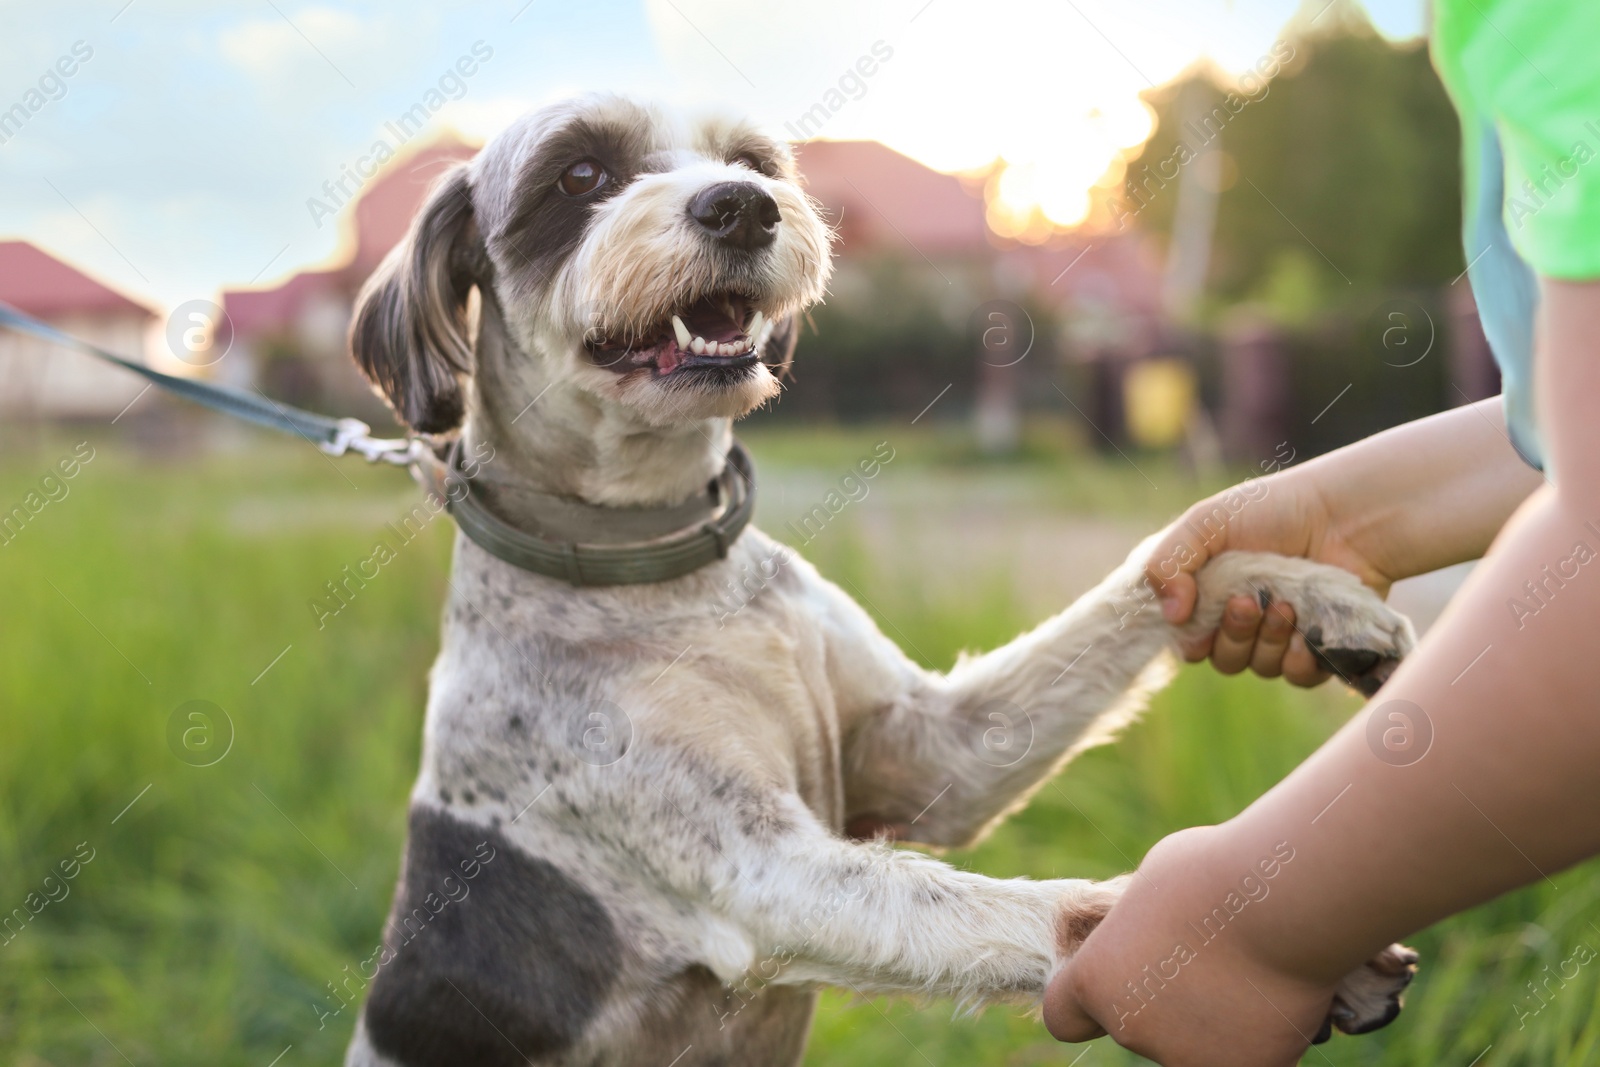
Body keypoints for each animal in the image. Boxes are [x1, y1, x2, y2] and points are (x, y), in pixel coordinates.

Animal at [344, 95, 1420, 1062]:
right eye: (578, 175)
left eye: (752, 161)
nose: (743, 206)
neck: (668, 565)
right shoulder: (766, 871)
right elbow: (1025, 911)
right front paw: (1207, 939)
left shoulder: (936, 750)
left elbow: (1146, 584)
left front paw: (1301, 589)